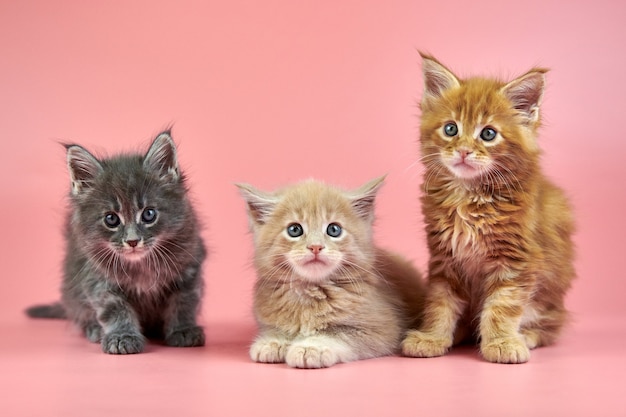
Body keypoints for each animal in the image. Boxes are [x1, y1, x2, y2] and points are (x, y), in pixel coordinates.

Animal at [25, 132, 206, 352]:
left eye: (149, 214)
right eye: (111, 219)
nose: (133, 241)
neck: (140, 266)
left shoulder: (189, 267)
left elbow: (184, 302)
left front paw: (183, 330)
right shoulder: (97, 279)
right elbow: (115, 309)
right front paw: (122, 336)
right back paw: (94, 329)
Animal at [235, 176, 424, 368]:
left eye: (334, 229)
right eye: (294, 230)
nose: (315, 247)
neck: (310, 291)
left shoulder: (383, 329)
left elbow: (338, 334)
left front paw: (311, 347)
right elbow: (276, 328)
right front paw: (274, 341)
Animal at [400, 53, 576, 362]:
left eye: (489, 134)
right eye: (451, 129)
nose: (464, 151)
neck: (469, 195)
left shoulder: (517, 259)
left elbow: (502, 306)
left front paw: (502, 342)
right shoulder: (444, 258)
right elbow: (440, 303)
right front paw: (432, 337)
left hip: (551, 295)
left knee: (552, 325)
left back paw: (527, 335)